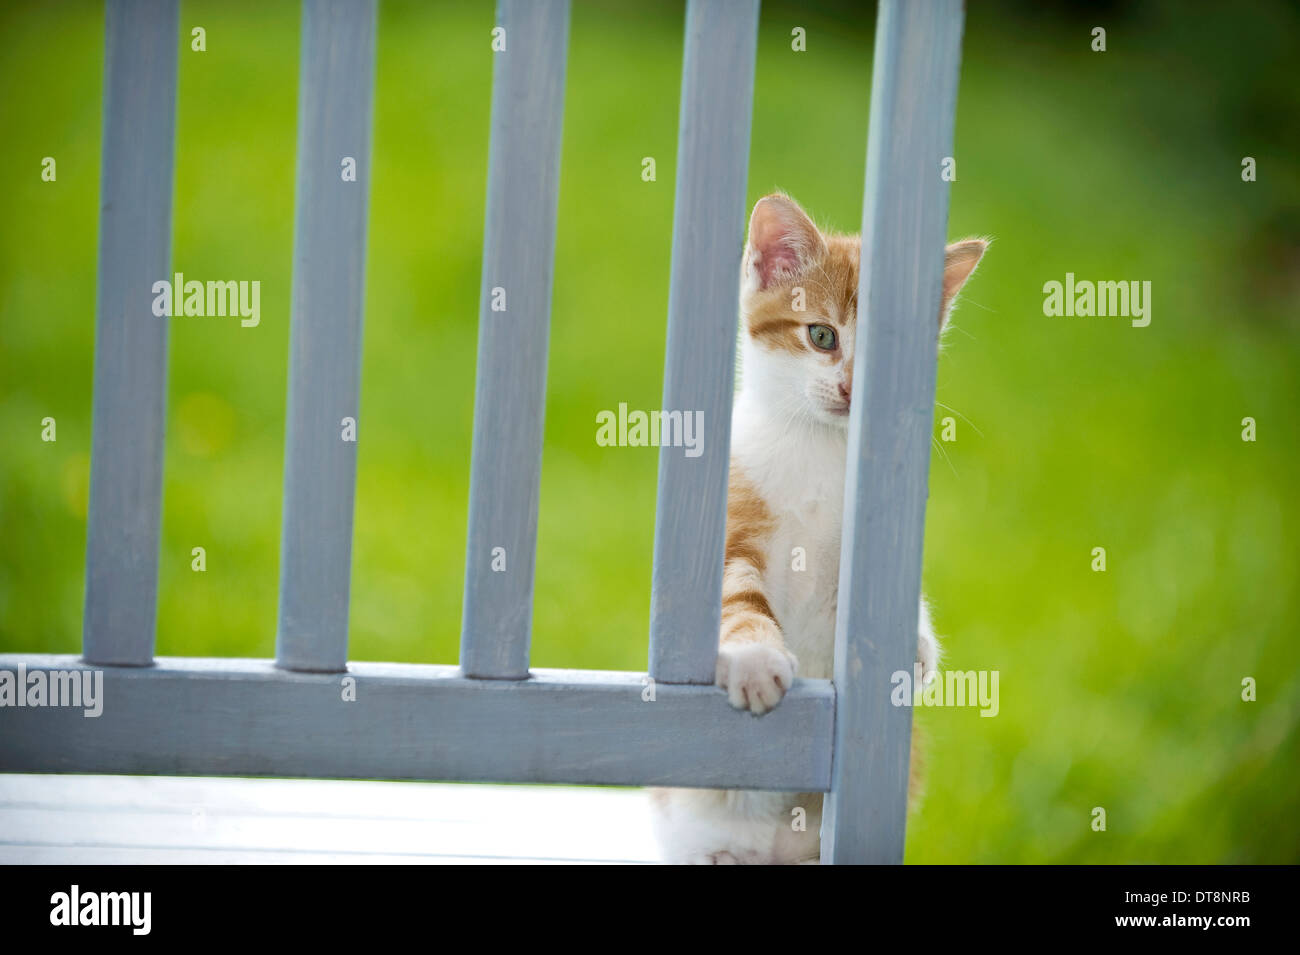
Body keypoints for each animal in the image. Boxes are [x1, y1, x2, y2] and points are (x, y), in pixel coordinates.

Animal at [650, 194, 982, 867]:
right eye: (821, 336)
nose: (852, 389)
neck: (819, 450)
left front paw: (915, 642)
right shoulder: (732, 525)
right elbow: (737, 594)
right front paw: (755, 659)